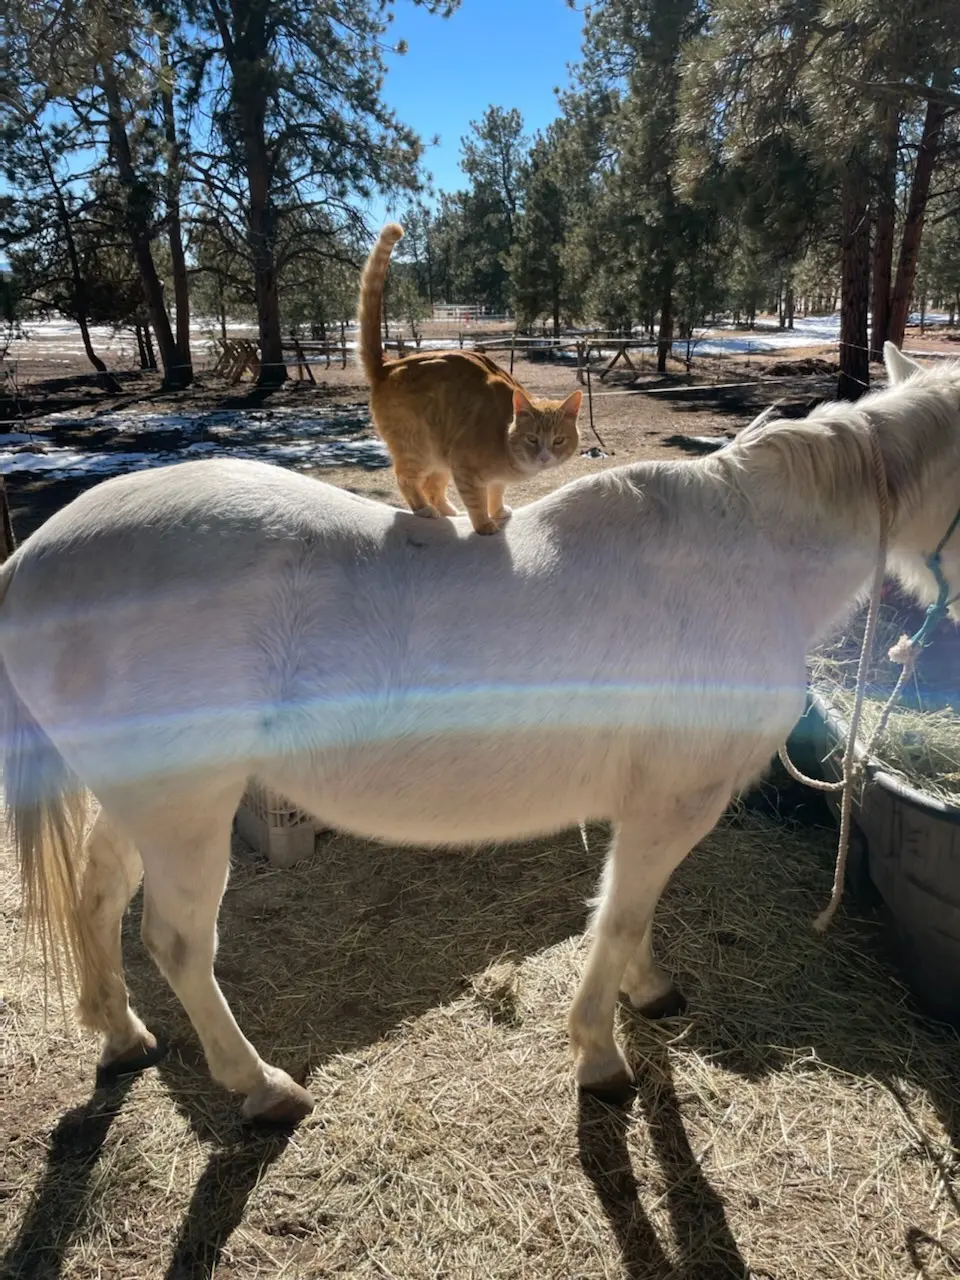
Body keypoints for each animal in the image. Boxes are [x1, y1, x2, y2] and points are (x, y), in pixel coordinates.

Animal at [2, 343, 958, 1125]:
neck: (744, 555)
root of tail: (35, 559)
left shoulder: (648, 804)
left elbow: (629, 908)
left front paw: (645, 990)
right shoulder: (678, 802)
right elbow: (621, 914)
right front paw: (600, 1055)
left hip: (136, 801)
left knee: (99, 895)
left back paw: (120, 1034)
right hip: (185, 811)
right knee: (174, 942)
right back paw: (261, 1087)